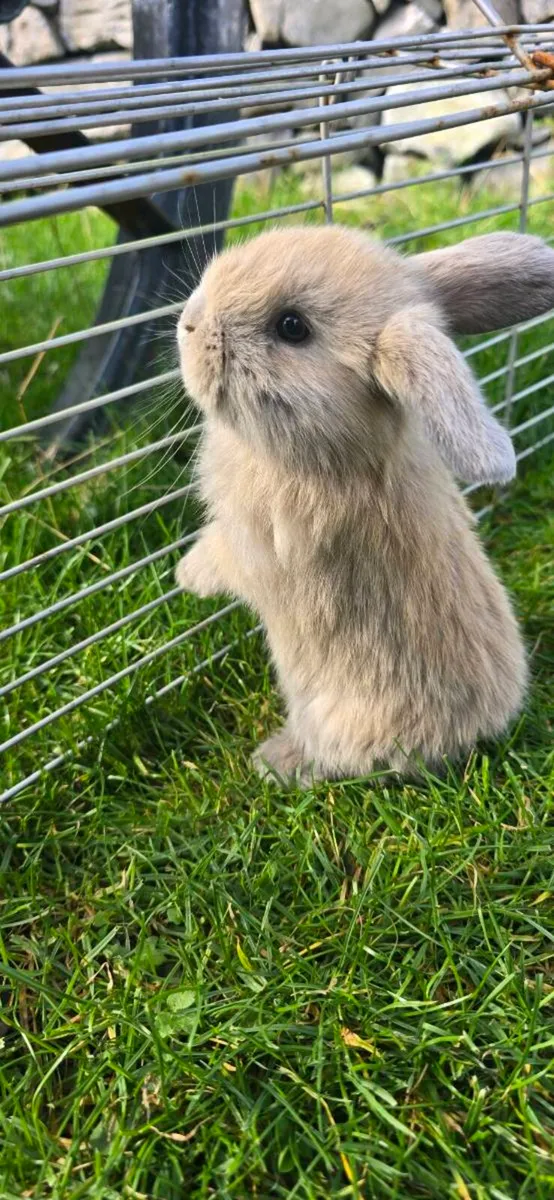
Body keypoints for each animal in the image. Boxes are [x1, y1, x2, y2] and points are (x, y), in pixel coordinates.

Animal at [174, 225, 554, 784]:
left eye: (292, 327)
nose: (189, 322)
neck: (339, 453)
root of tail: (474, 731)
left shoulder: (254, 545)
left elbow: (220, 558)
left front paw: (185, 576)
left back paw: (275, 763)